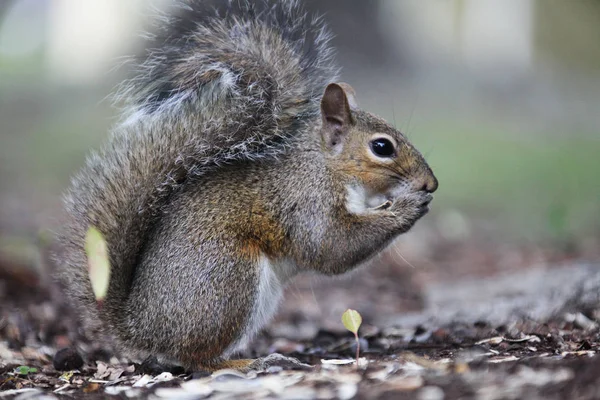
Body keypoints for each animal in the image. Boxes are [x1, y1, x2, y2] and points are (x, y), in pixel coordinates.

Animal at [55, 0, 436, 372]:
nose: (430, 184)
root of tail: (141, 327)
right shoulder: (305, 198)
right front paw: (406, 208)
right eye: (382, 147)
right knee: (197, 360)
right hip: (227, 279)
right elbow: (330, 247)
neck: (329, 167)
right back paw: (253, 361)